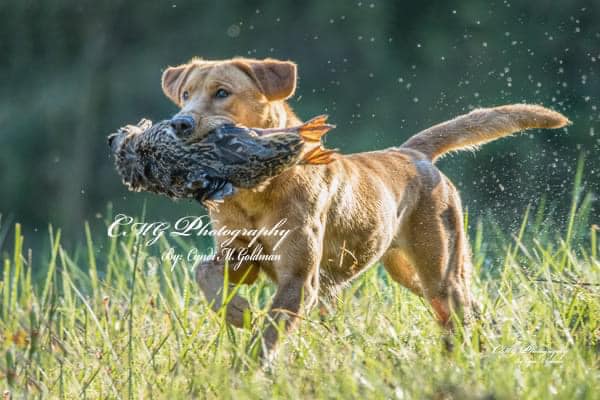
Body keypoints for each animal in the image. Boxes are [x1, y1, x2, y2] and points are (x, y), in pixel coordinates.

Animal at [161, 56, 572, 360]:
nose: (180, 123)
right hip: (406, 270)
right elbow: (203, 271)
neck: (257, 191)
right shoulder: (240, 257)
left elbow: (267, 336)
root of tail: (411, 153)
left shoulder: (299, 278)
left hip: (440, 269)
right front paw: (238, 311)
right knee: (468, 308)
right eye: (186, 94)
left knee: (459, 308)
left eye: (222, 92)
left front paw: (246, 368)